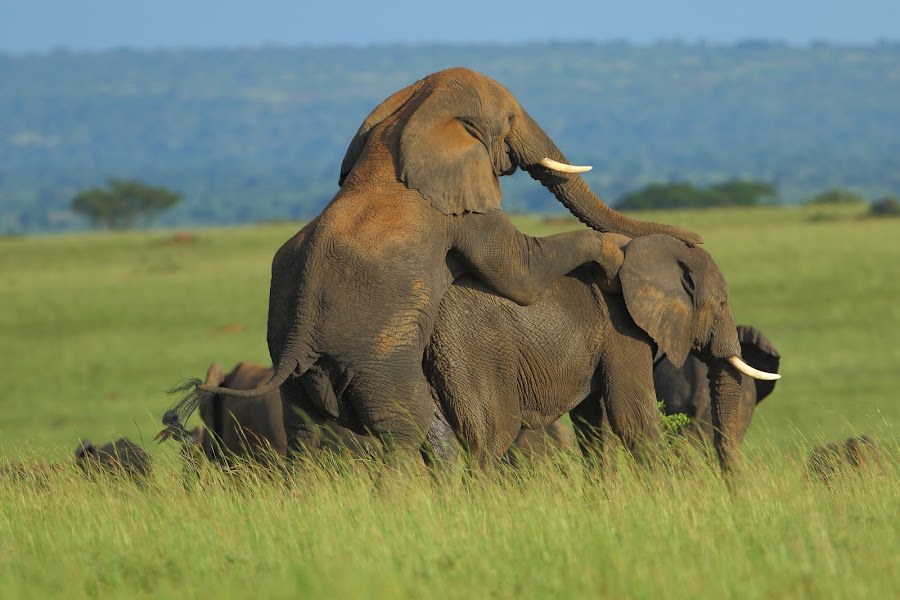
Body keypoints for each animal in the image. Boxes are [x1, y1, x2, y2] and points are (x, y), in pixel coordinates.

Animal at [171, 65, 704, 468]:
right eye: (510, 117)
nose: (695, 238)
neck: (407, 115)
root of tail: (297, 340)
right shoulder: (461, 212)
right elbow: (521, 271)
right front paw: (612, 253)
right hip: (374, 357)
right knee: (403, 429)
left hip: (294, 368)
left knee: (306, 437)